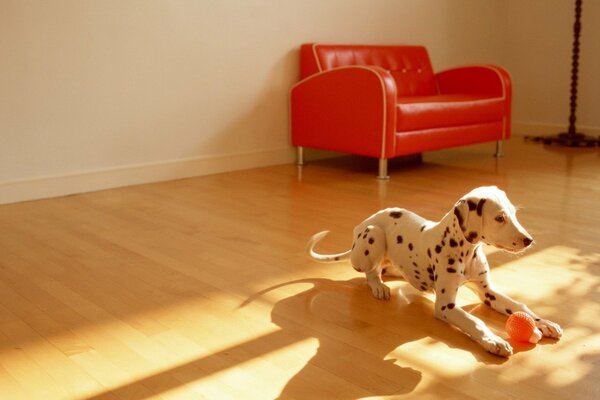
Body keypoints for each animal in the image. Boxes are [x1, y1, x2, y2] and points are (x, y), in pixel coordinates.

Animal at [308, 186, 564, 358]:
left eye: (514, 213)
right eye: (500, 218)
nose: (529, 240)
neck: (467, 252)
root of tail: (365, 222)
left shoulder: (488, 292)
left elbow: (520, 306)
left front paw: (544, 322)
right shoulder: (445, 306)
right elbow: (474, 321)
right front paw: (493, 340)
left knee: (387, 268)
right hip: (373, 236)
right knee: (370, 271)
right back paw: (379, 286)